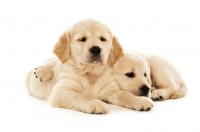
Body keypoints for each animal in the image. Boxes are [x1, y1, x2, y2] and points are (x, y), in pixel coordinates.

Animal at [25, 19, 153, 114]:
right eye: (82, 39)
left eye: (102, 39)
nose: (96, 49)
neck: (91, 73)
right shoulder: (61, 91)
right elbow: (80, 96)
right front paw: (94, 102)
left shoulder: (110, 90)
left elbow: (125, 94)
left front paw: (140, 100)